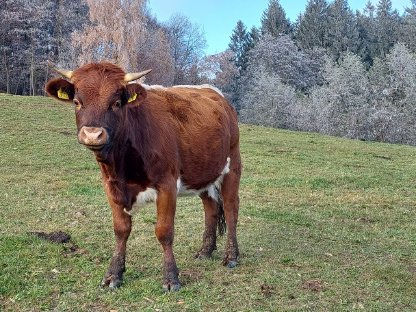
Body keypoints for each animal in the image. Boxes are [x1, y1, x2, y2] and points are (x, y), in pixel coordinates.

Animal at [45, 62, 240, 292]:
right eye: (77, 102)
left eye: (116, 103)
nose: (92, 134)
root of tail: (215, 93)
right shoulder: (111, 186)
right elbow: (121, 230)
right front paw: (113, 274)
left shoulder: (167, 185)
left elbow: (164, 231)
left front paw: (171, 278)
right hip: (204, 173)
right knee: (211, 209)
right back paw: (205, 251)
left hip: (232, 166)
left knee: (231, 209)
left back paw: (231, 256)